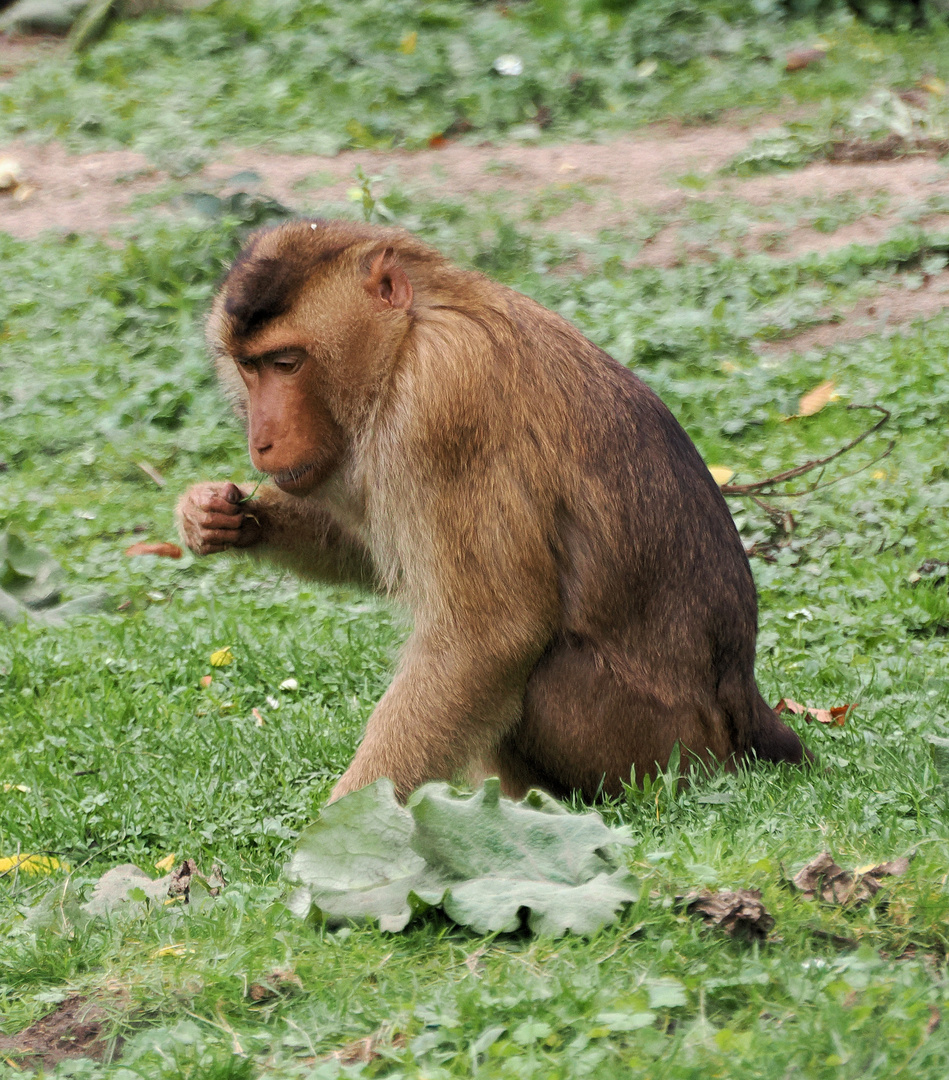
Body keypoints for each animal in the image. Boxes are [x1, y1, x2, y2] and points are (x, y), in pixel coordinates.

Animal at [178, 217, 807, 803]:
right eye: (249, 367)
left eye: (287, 363)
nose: (261, 441)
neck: (408, 336)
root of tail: (743, 710)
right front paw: (212, 515)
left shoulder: (441, 404)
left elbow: (487, 636)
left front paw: (342, 826)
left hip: (662, 748)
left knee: (531, 666)